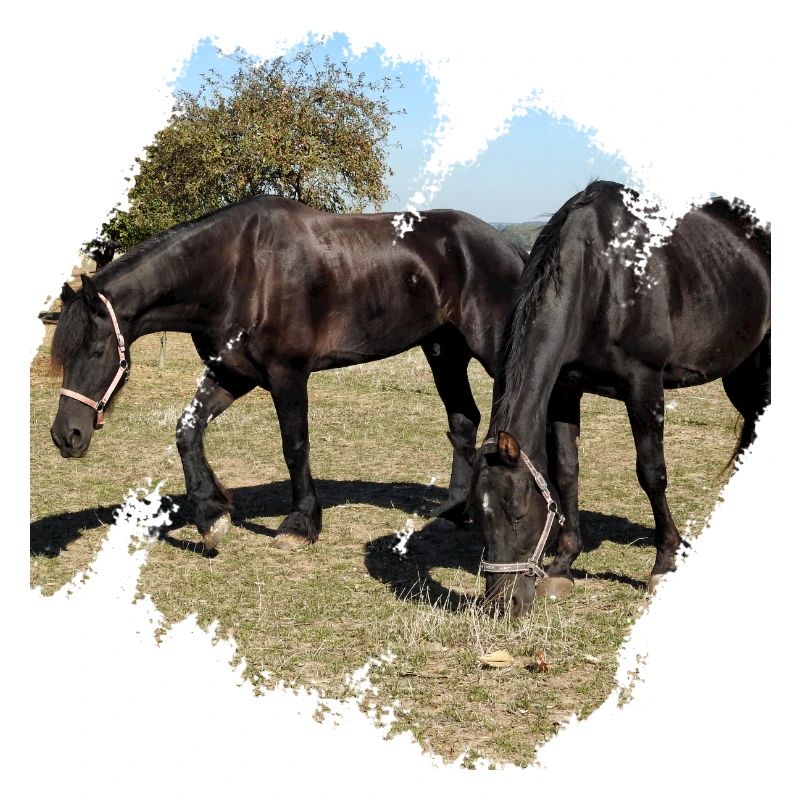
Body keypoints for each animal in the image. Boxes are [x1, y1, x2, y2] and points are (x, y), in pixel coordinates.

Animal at [49, 196, 526, 551]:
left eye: (96, 350)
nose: (65, 436)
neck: (239, 271)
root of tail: (508, 247)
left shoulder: (287, 374)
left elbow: (295, 447)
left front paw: (300, 524)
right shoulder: (232, 373)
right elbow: (187, 431)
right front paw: (211, 515)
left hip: (491, 351)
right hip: (443, 351)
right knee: (463, 420)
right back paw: (453, 513)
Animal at [460, 180, 770, 615]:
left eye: (518, 512)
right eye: (476, 515)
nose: (504, 604)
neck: (603, 274)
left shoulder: (643, 383)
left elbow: (652, 473)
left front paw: (664, 563)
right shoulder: (565, 389)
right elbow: (566, 473)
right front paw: (563, 566)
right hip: (742, 372)